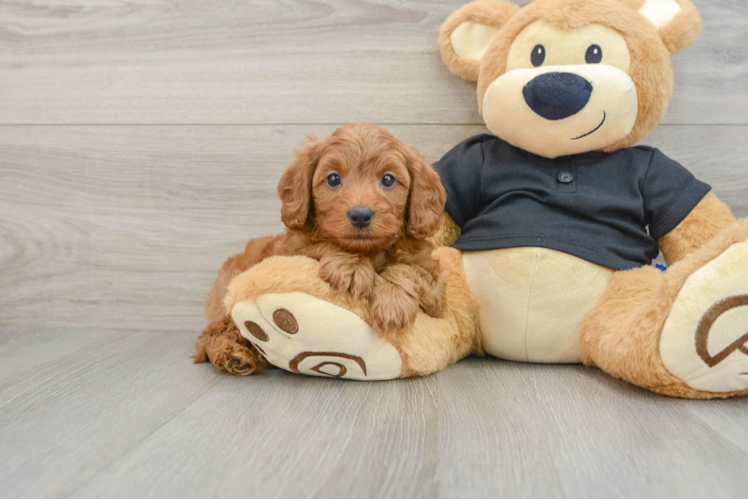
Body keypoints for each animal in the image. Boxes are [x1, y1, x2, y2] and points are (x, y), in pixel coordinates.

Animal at [196, 124, 448, 376]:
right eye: (333, 178)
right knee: (212, 333)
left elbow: (409, 270)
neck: (369, 250)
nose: (360, 215)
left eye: (388, 179)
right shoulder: (289, 253)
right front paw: (352, 266)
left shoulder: (436, 290)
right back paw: (232, 355)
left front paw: (392, 303)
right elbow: (321, 244)